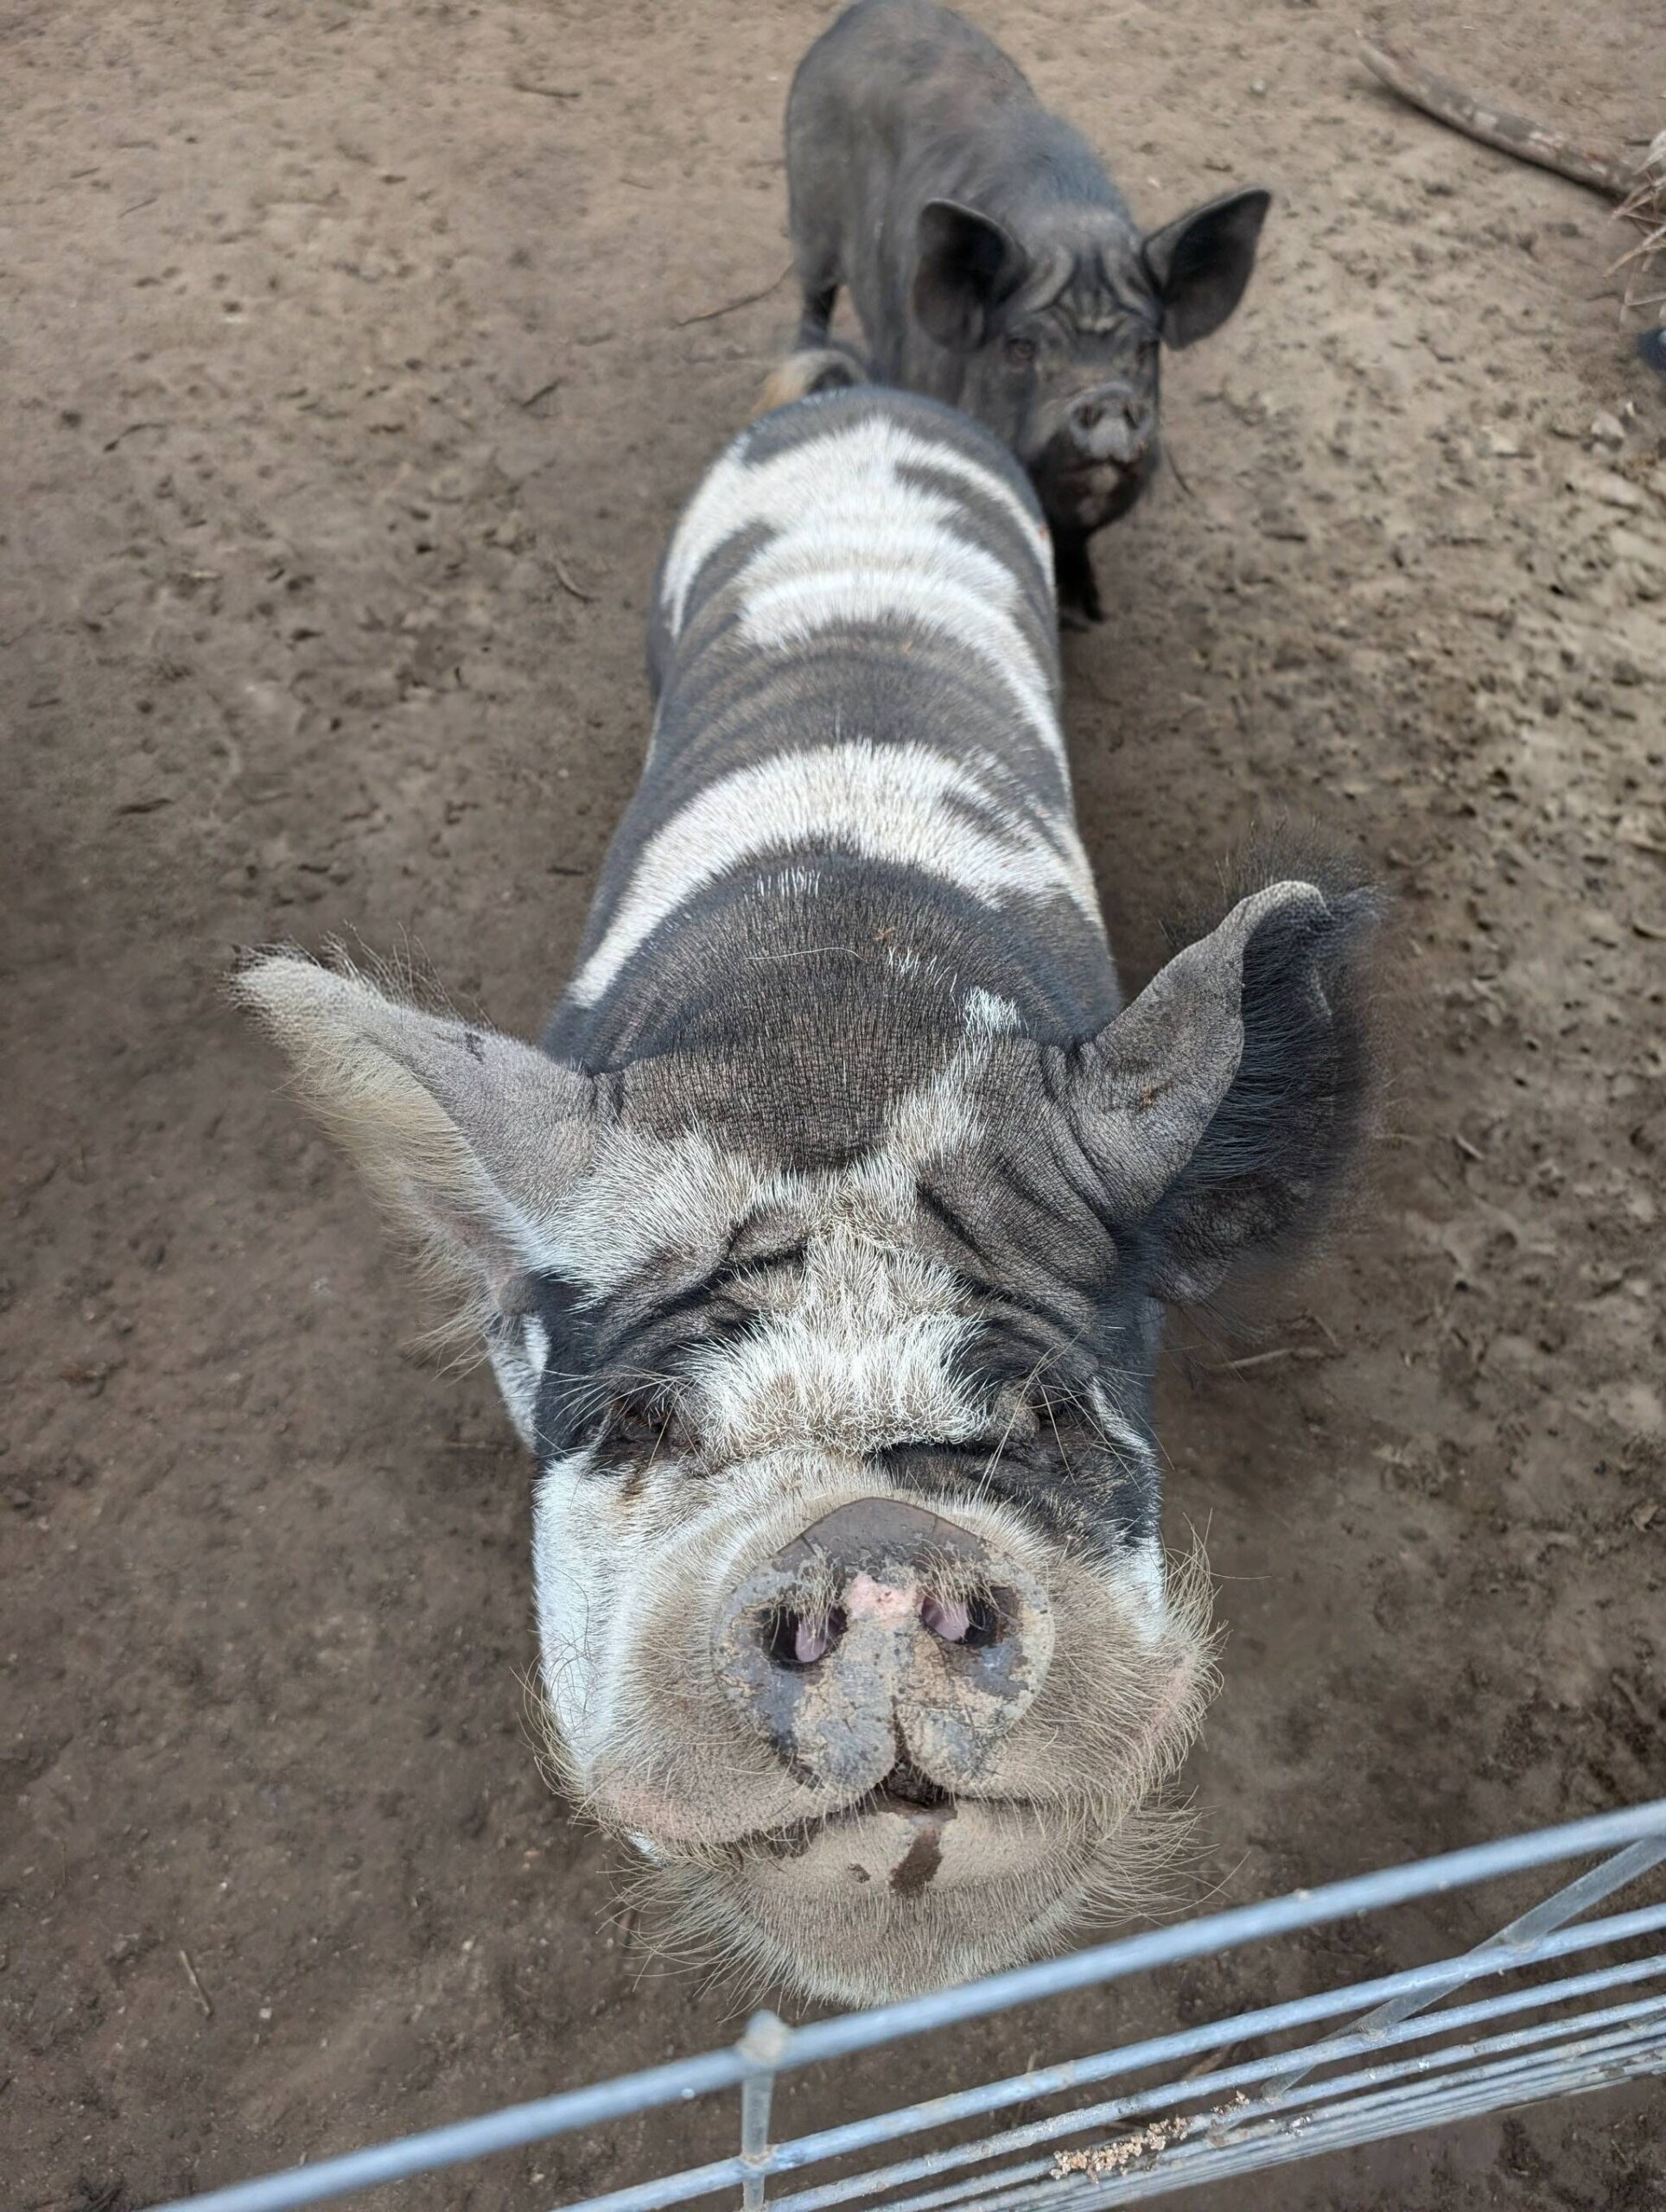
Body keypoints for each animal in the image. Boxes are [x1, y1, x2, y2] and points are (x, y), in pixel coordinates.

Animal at [779, 0, 1270, 624]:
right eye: (1020, 346)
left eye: (1144, 347)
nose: (1109, 399)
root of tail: (861, 13)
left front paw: (1086, 614)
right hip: (808, 211)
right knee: (814, 295)